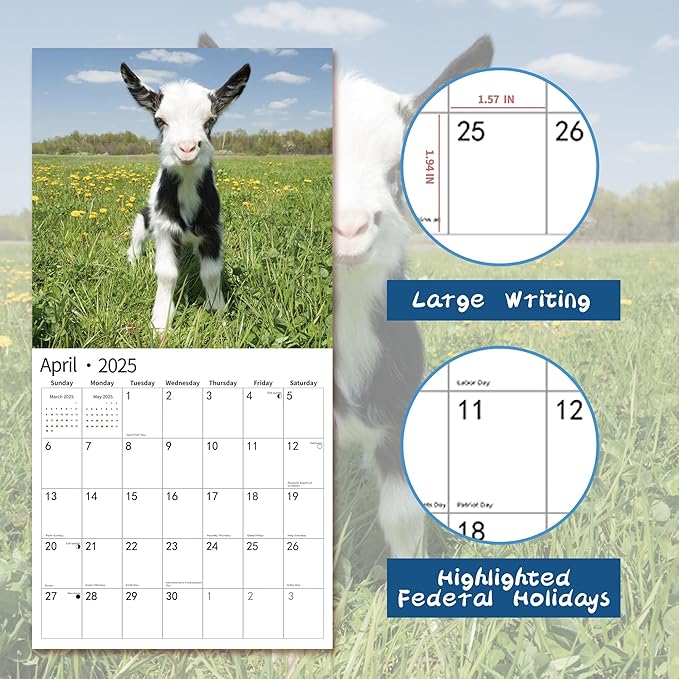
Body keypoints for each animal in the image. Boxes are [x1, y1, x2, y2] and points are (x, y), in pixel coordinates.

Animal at [120, 62, 250, 331]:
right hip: (145, 217)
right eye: (160, 120)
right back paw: (133, 260)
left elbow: (211, 272)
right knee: (137, 235)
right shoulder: (165, 228)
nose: (187, 148)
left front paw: (218, 313)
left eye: (210, 119)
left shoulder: (212, 229)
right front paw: (161, 323)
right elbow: (167, 273)